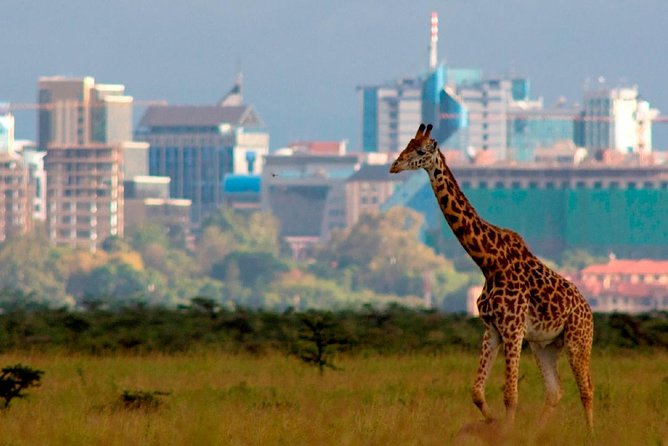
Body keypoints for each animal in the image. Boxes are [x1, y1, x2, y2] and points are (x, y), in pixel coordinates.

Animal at [388, 123, 592, 430]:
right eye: (407, 145)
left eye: (421, 151)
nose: (394, 165)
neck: (488, 262)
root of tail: (589, 311)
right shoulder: (492, 329)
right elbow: (477, 392)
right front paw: (494, 424)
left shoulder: (513, 329)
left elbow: (510, 394)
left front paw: (505, 432)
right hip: (544, 345)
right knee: (555, 392)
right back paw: (537, 434)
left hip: (578, 340)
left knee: (586, 390)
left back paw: (591, 434)